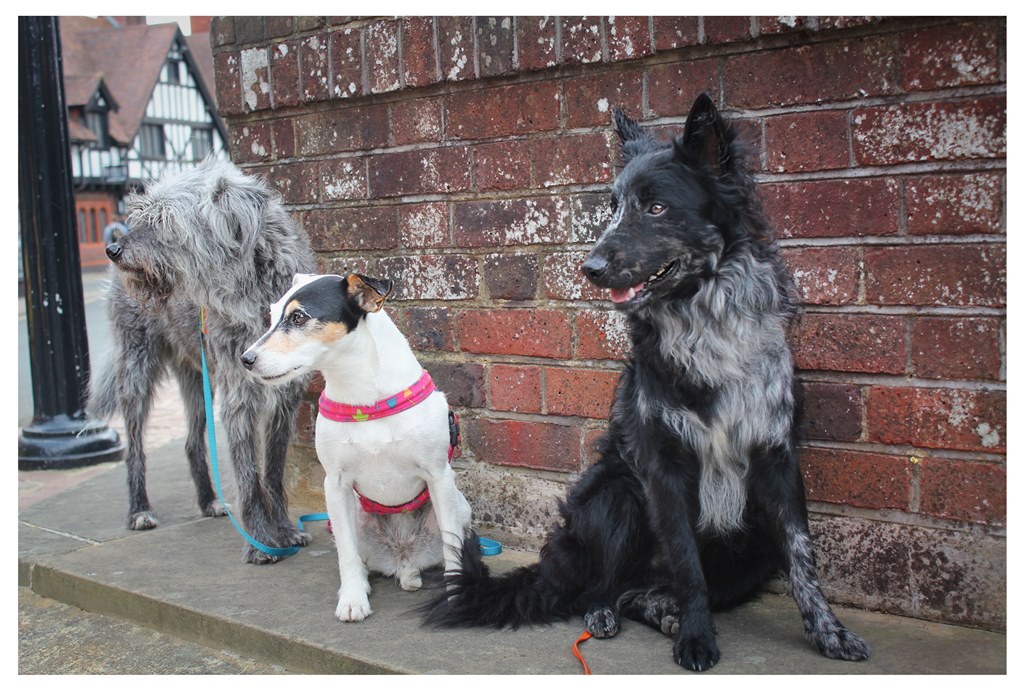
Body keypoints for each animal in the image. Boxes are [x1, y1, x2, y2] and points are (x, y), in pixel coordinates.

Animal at [87, 157, 315, 564]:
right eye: (141, 215)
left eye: (164, 222)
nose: (113, 250)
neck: (253, 290)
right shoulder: (240, 396)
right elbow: (249, 477)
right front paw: (260, 542)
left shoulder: (284, 399)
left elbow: (272, 472)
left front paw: (285, 530)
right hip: (136, 369)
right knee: (134, 447)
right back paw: (139, 509)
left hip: (196, 377)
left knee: (193, 442)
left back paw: (209, 500)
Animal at [241, 272, 473, 621]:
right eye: (270, 316)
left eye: (299, 317)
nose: (246, 359)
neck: (363, 397)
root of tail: (404, 557)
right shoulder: (335, 484)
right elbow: (347, 555)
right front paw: (353, 599)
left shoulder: (439, 476)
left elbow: (451, 543)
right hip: (350, 519)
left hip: (461, 507)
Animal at [421, 94, 869, 671]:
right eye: (613, 207)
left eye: (656, 208)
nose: (589, 267)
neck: (704, 318)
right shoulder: (663, 467)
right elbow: (687, 564)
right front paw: (698, 637)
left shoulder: (777, 460)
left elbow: (801, 558)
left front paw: (829, 632)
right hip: (615, 492)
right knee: (601, 588)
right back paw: (608, 613)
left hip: (751, 543)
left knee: (641, 591)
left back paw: (662, 609)